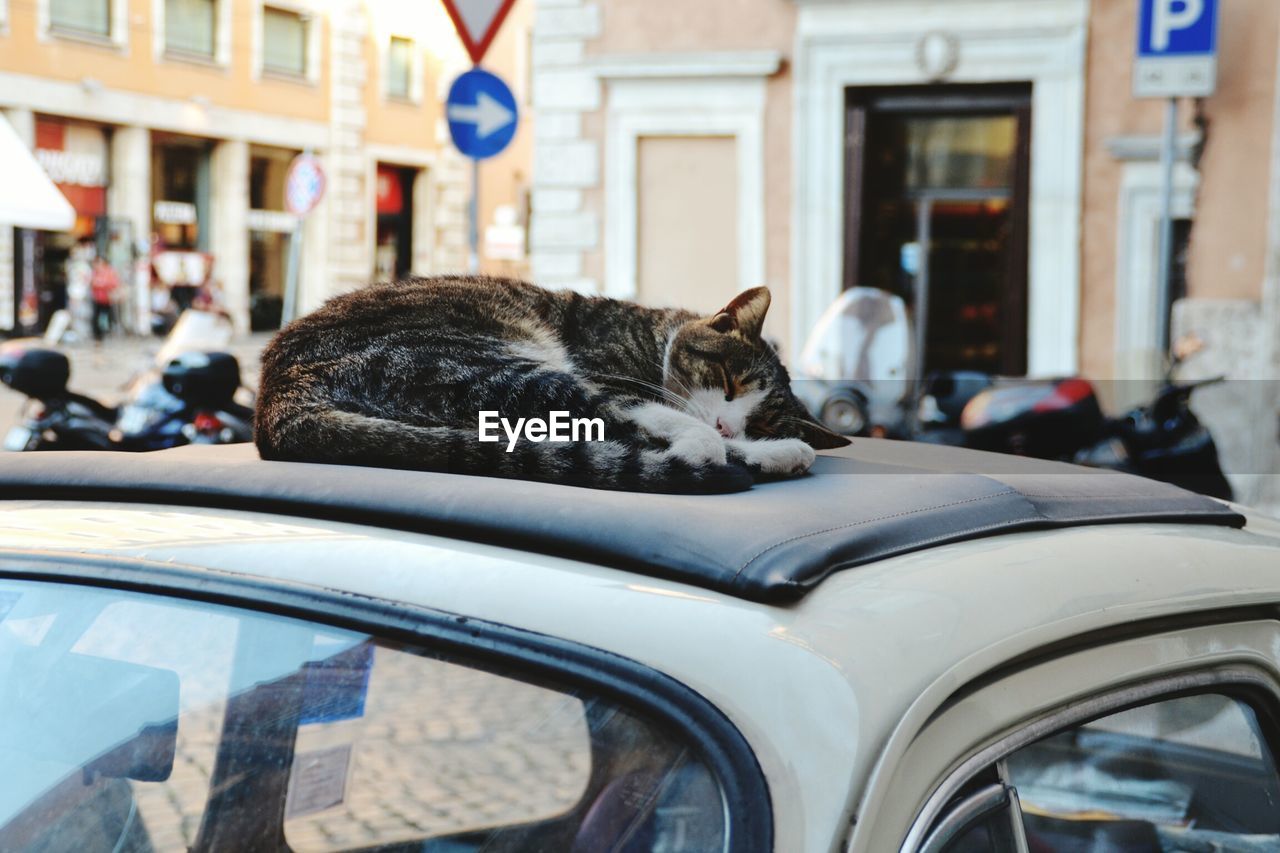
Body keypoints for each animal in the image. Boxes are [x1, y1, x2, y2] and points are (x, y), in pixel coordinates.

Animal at [254, 275, 849, 491]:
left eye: (761, 421)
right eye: (728, 380)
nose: (729, 424)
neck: (652, 335)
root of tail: (274, 395)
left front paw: (770, 447)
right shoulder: (608, 373)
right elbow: (648, 410)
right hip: (485, 364)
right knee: (624, 428)